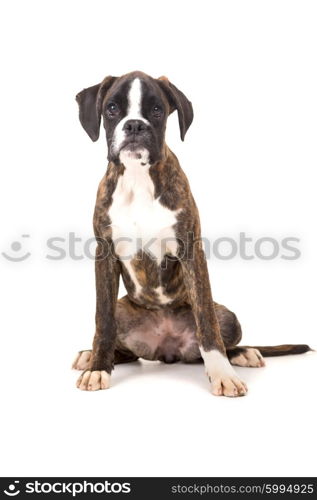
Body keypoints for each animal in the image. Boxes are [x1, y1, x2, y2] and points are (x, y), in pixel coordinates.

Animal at [72, 71, 312, 398]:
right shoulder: (105, 255)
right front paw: (98, 367)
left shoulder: (191, 251)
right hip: (124, 310)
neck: (138, 179)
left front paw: (222, 374)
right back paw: (91, 355)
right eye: (111, 108)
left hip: (229, 317)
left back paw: (243, 354)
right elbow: (103, 321)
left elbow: (207, 325)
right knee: (126, 349)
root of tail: (167, 348)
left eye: (157, 110)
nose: (134, 125)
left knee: (211, 339)